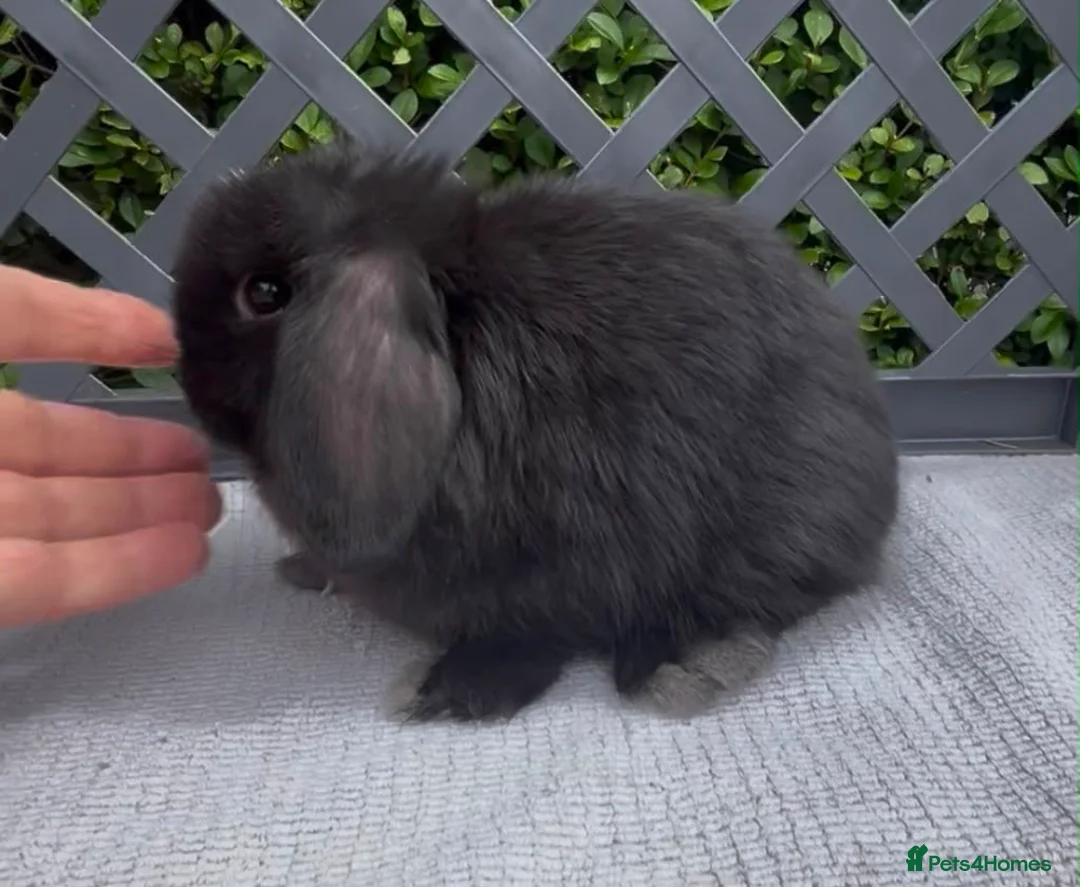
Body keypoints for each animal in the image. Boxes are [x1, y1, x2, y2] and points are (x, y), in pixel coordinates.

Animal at [170, 138, 899, 723]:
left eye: (264, 293)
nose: (189, 386)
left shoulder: (563, 557)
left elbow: (530, 633)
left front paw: (446, 690)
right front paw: (309, 570)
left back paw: (685, 660)